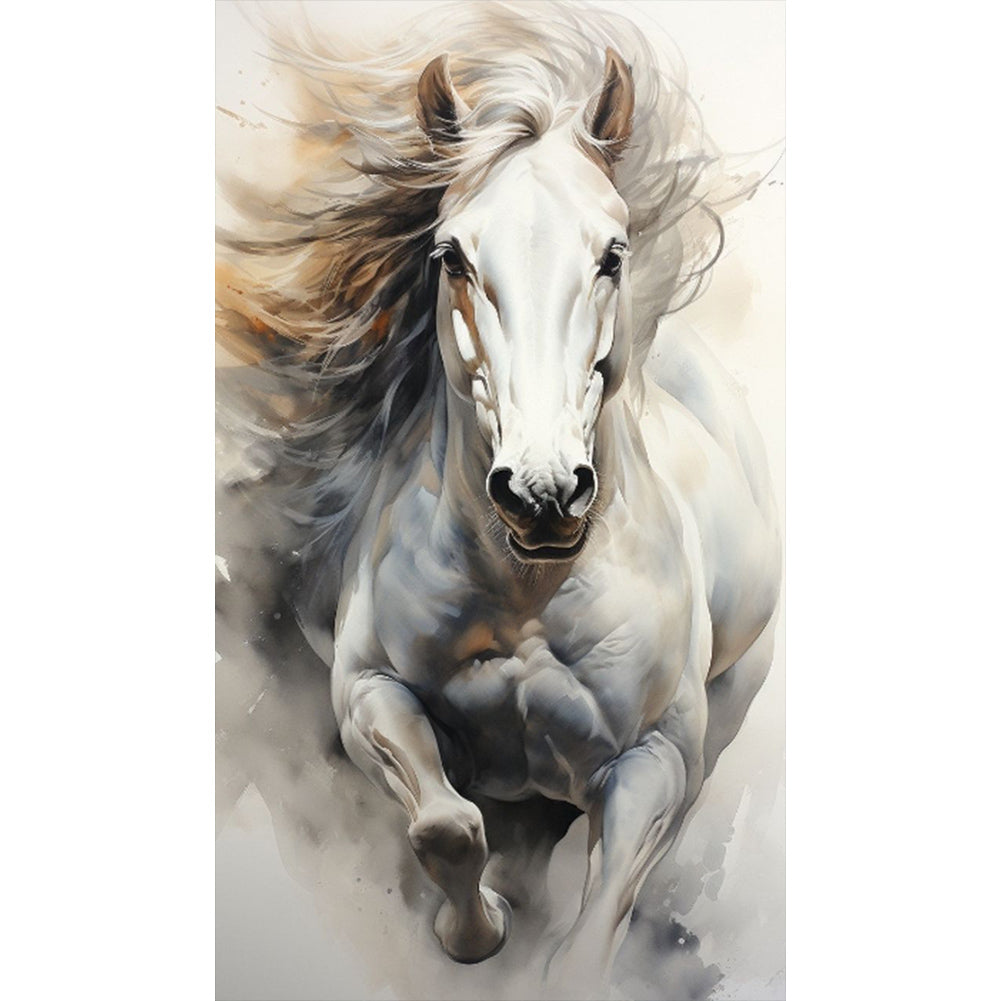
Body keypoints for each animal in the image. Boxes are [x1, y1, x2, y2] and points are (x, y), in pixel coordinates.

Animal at [216, 2, 781, 993]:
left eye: (611, 252)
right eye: (450, 254)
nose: (543, 493)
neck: (527, 595)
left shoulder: (653, 762)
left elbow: (587, 945)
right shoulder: (368, 694)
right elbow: (446, 823)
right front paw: (473, 932)